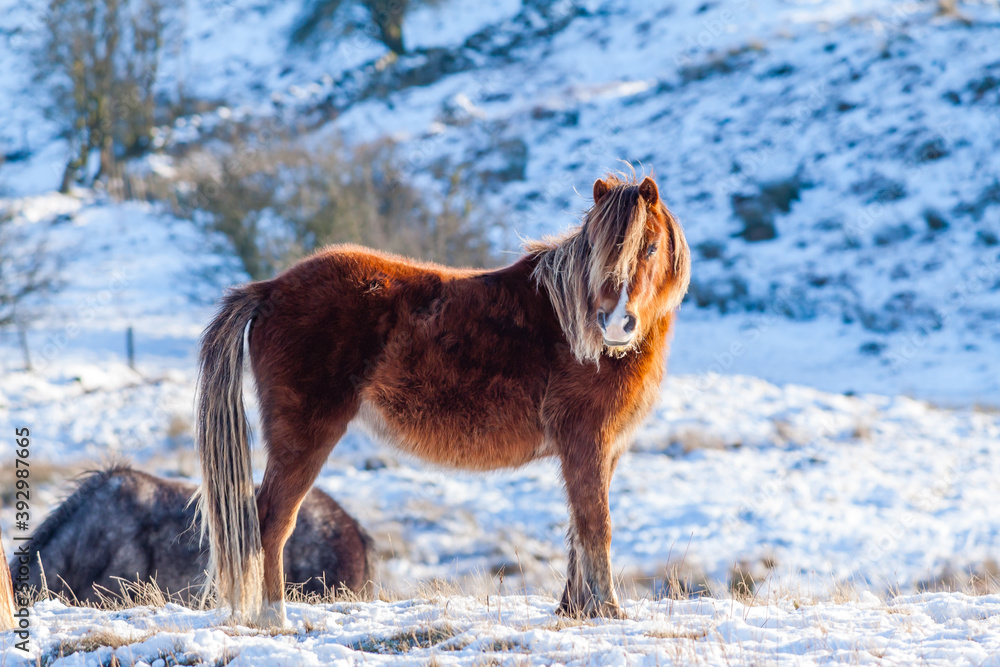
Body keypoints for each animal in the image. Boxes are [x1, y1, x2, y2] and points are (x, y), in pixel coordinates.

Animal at [196, 173, 691, 627]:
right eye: (598, 251)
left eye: (650, 248)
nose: (615, 324)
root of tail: (271, 288)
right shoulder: (586, 441)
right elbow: (597, 525)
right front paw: (609, 611)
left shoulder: (602, 450)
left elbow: (577, 527)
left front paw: (574, 610)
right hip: (304, 437)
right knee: (271, 523)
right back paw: (273, 618)